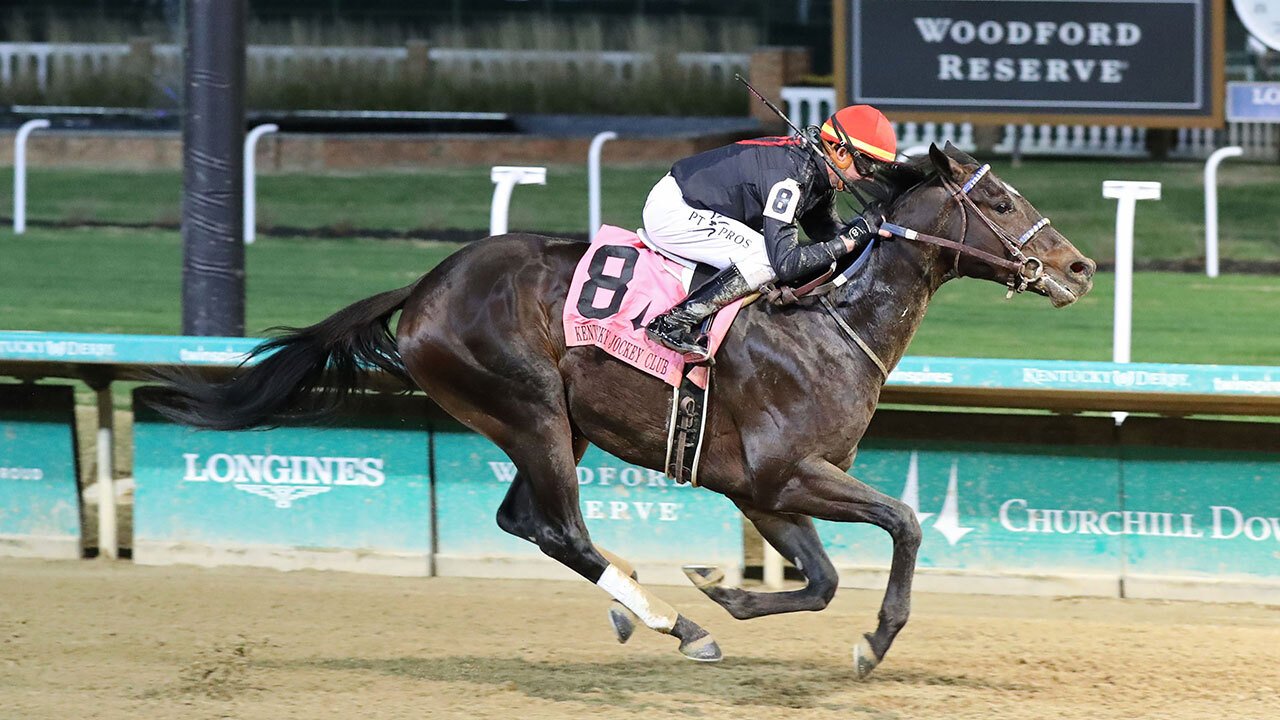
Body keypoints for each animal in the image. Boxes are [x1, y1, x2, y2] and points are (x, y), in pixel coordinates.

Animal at [154, 143, 1096, 677]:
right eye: (1000, 201)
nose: (1080, 267)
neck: (831, 323)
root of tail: (423, 288)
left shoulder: (762, 490)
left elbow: (823, 581)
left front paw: (726, 589)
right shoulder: (787, 474)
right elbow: (904, 523)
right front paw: (873, 641)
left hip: (546, 426)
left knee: (526, 522)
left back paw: (649, 605)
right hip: (529, 408)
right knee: (561, 529)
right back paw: (673, 624)